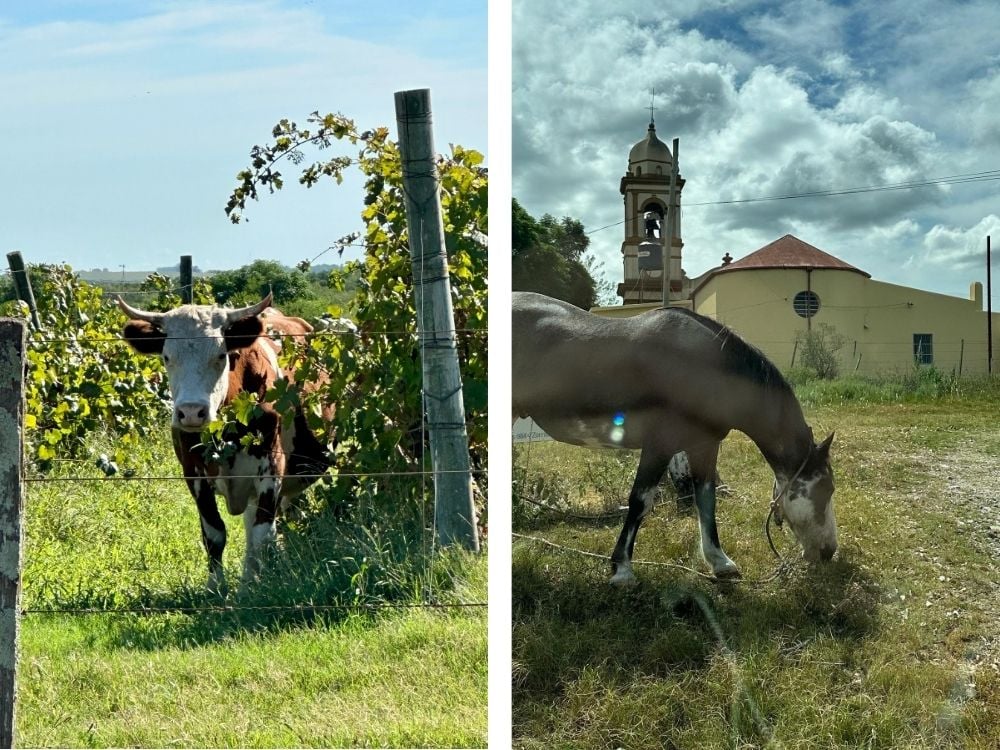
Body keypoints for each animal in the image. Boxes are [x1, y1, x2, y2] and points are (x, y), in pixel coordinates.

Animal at [118, 293, 332, 595]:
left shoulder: (271, 469)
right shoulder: (193, 473)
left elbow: (261, 535)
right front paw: (215, 587)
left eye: (221, 355)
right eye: (167, 357)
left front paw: (252, 588)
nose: (191, 412)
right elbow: (214, 533)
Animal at [512, 291, 836, 585]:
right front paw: (622, 570)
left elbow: (706, 499)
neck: (703, 368)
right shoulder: (659, 444)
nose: (829, 552)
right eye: (826, 489)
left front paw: (720, 562)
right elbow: (640, 501)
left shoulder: (704, 445)